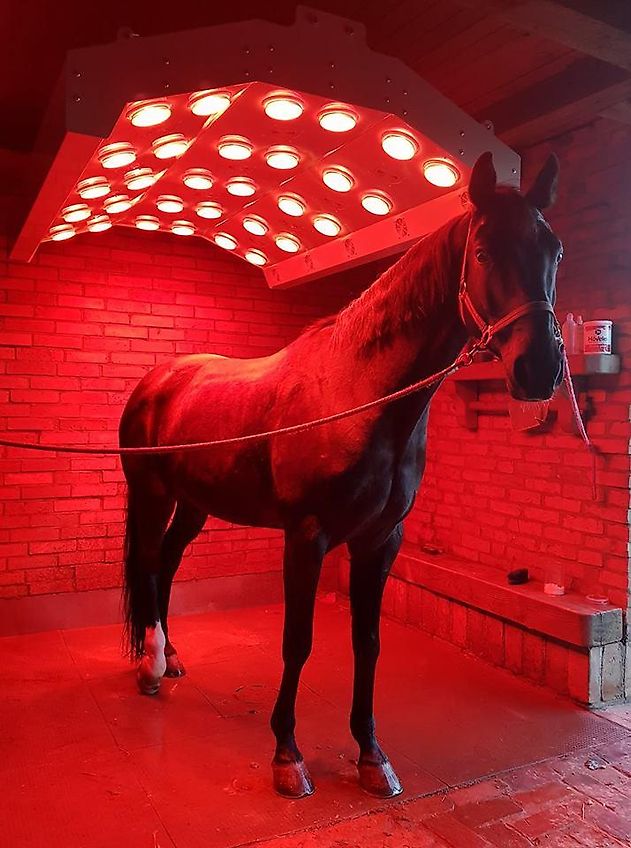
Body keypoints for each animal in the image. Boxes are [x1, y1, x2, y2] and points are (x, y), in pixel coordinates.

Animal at [119, 151, 564, 799]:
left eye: (554, 250)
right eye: (483, 252)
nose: (540, 369)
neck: (359, 395)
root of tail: (156, 382)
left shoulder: (379, 541)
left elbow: (368, 643)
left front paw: (371, 755)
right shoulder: (306, 538)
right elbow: (298, 641)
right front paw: (287, 754)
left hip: (194, 502)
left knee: (169, 563)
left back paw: (172, 655)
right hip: (152, 495)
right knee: (151, 562)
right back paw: (151, 667)